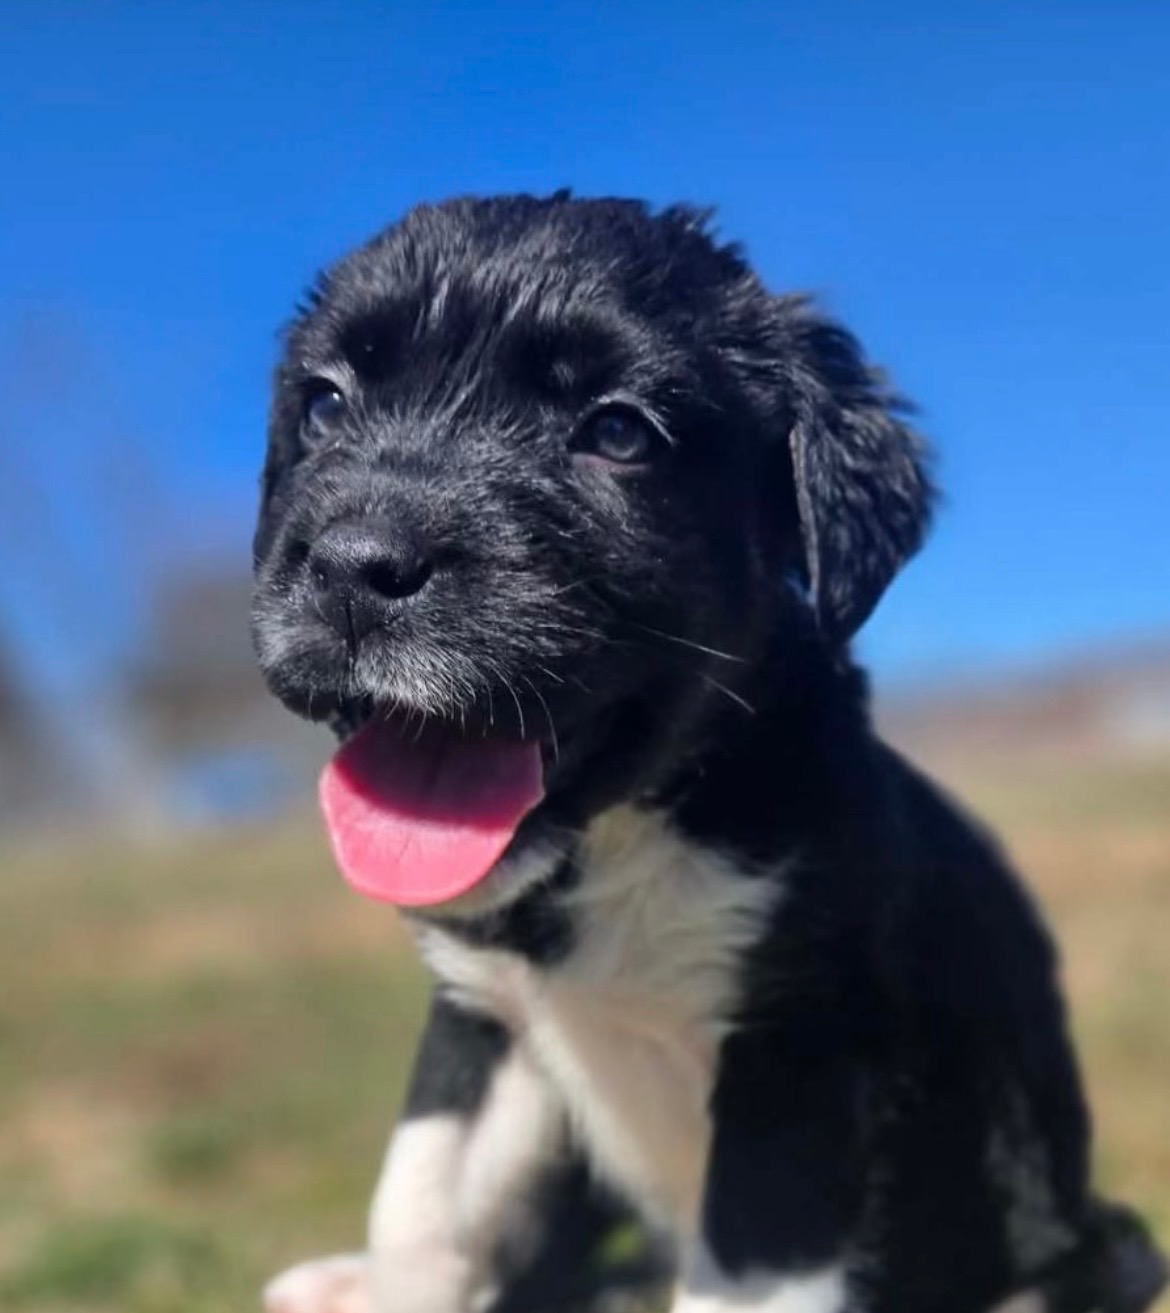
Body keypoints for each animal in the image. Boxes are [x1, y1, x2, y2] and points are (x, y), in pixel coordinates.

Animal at [251, 193, 1165, 1313]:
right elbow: (423, 1201)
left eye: (616, 432)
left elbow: (745, 1272)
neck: (628, 834)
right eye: (324, 406)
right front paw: (395, 1276)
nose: (352, 565)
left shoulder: (799, 1051)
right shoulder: (486, 1020)